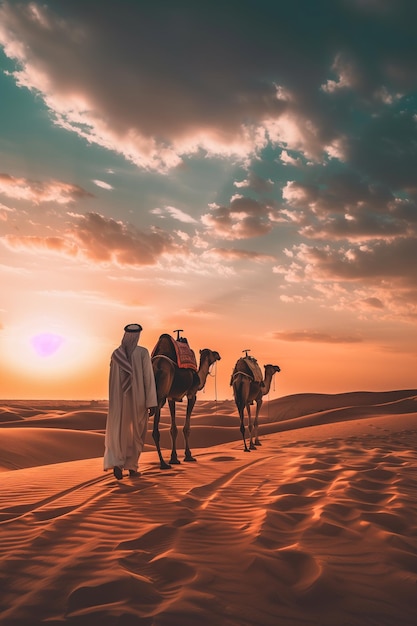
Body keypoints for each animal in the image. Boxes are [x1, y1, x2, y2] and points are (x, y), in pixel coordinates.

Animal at [150, 334, 221, 466]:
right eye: (211, 352)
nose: (218, 354)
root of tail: (155, 365)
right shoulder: (192, 394)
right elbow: (186, 428)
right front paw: (188, 456)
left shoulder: (171, 398)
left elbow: (173, 429)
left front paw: (174, 458)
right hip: (160, 396)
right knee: (155, 430)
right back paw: (163, 463)